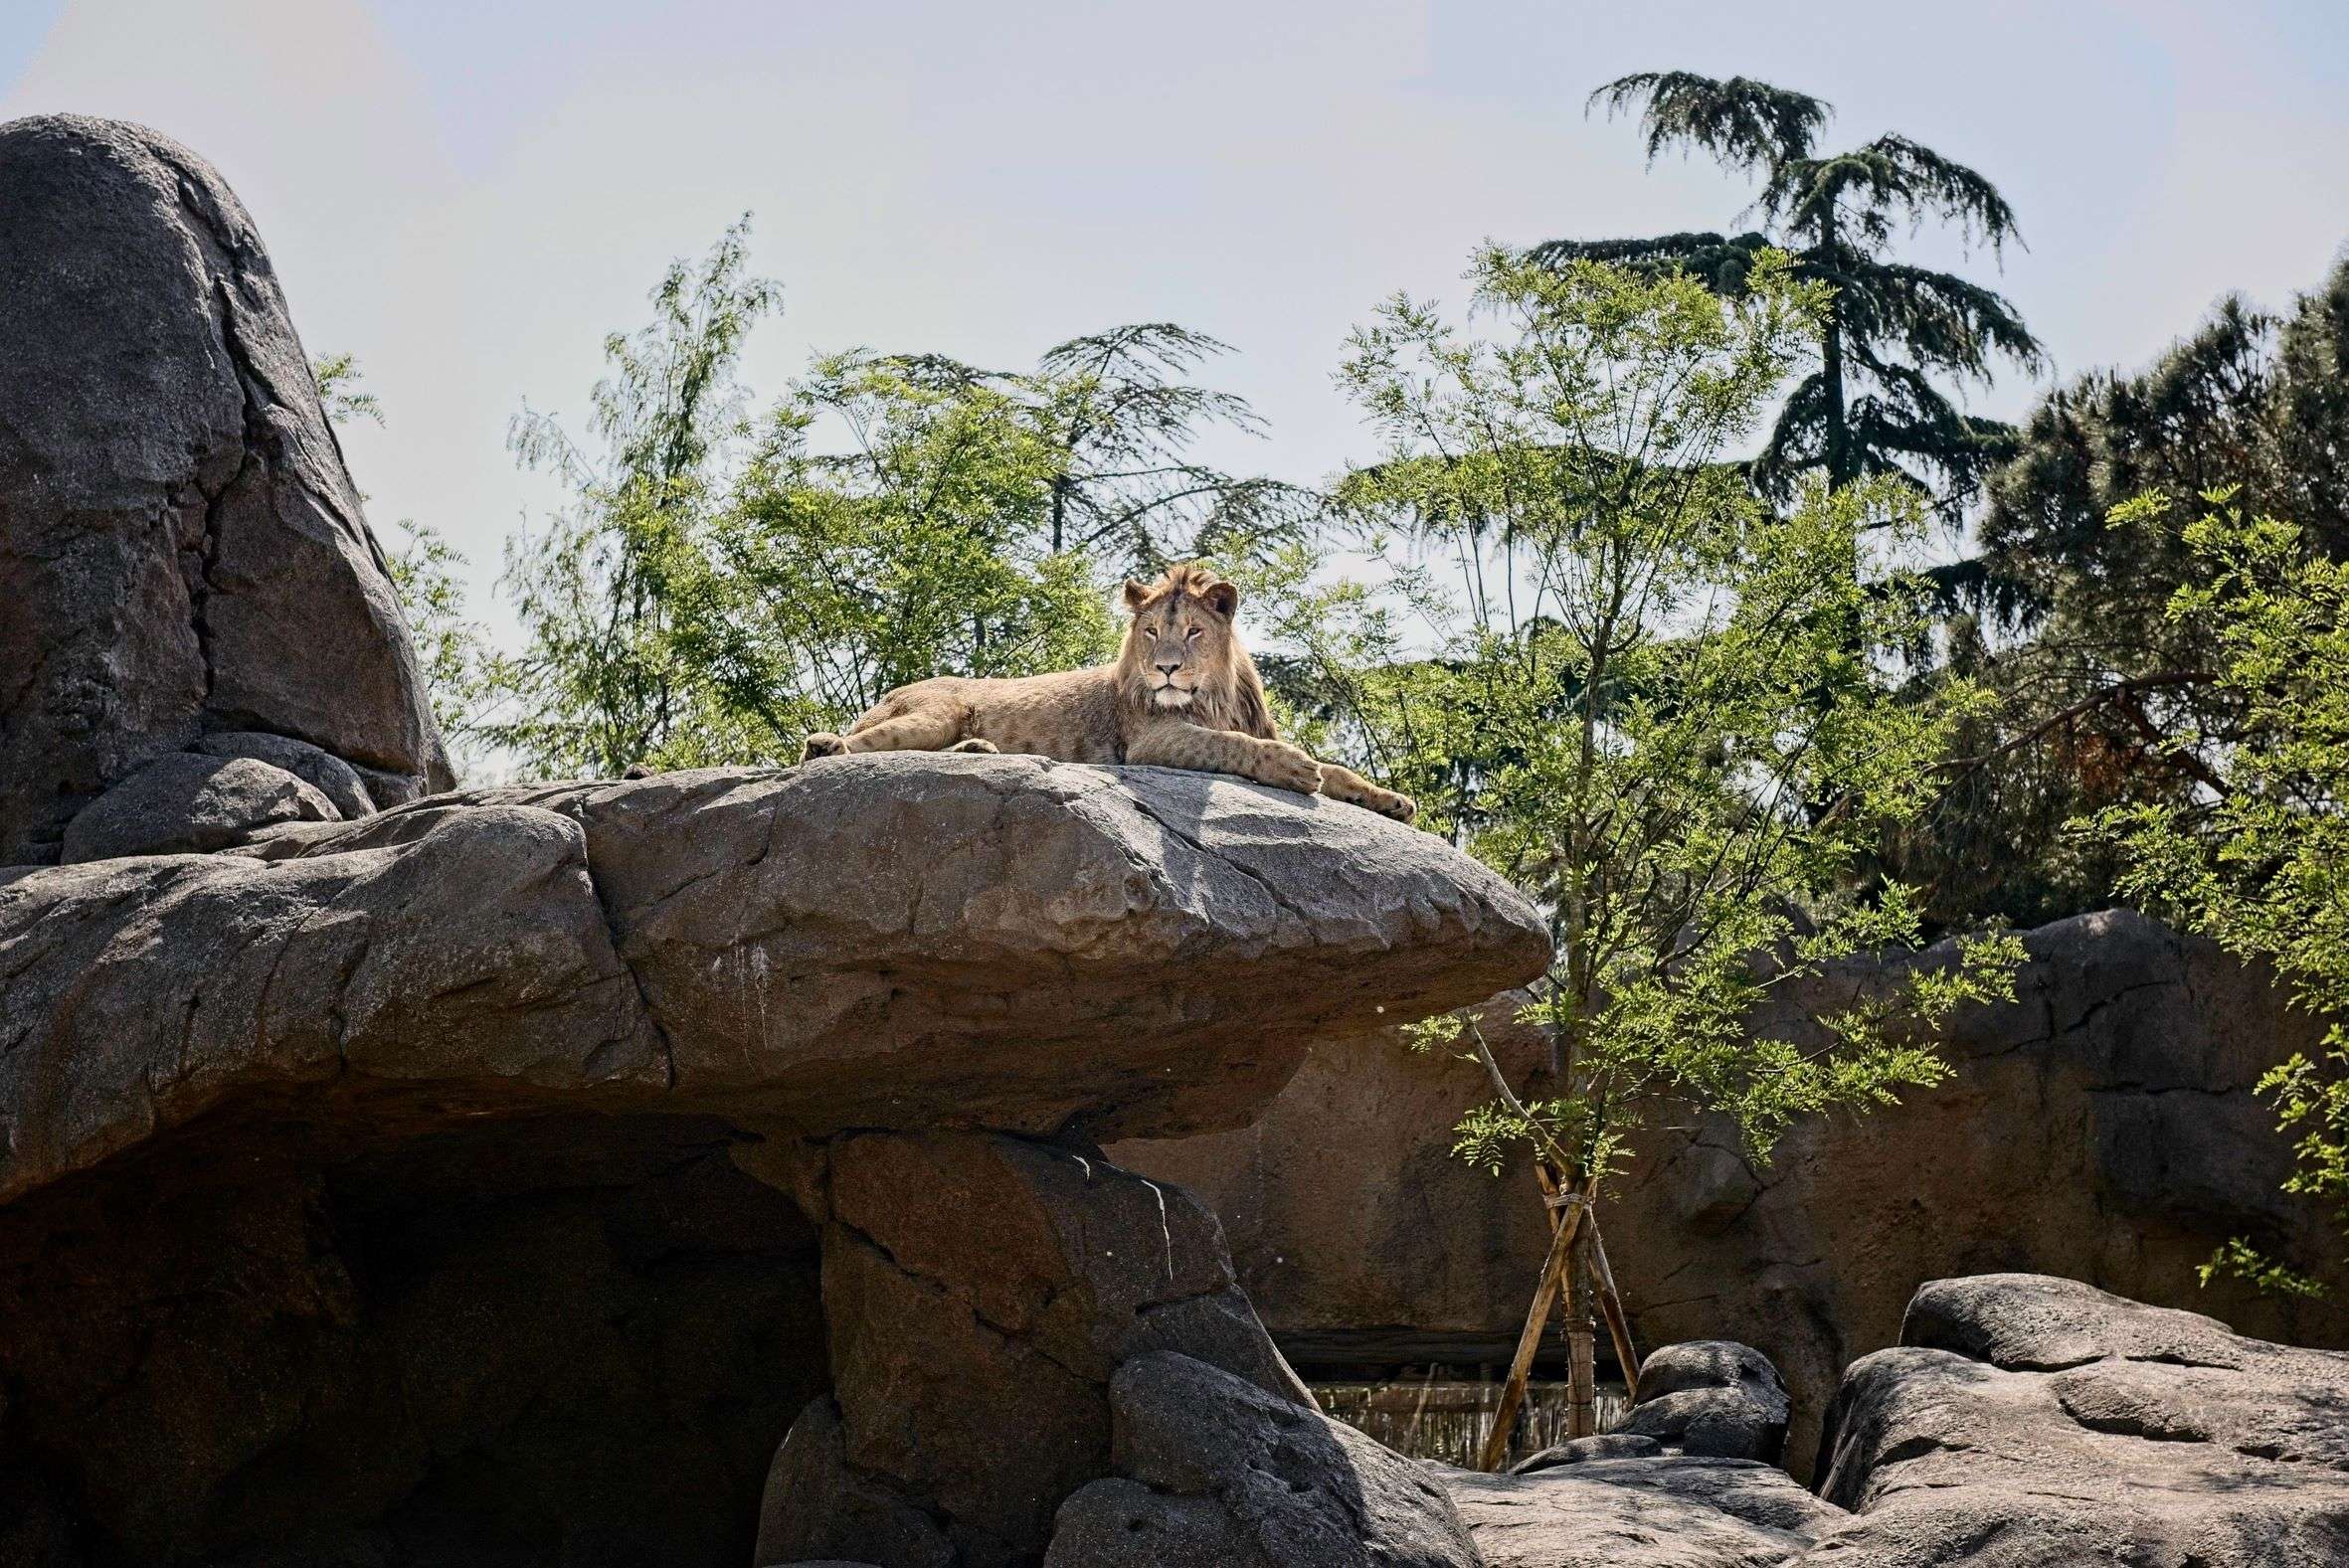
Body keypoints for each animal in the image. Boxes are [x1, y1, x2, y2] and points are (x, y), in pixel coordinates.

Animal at [799, 561, 1409, 821]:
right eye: (1151, 631)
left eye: (1193, 631)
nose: (1165, 670)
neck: (1213, 694)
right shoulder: (1150, 742)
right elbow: (1231, 746)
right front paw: (1291, 767)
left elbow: (1338, 771)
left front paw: (1391, 800)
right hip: (935, 713)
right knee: (849, 747)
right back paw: (829, 744)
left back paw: (980, 749)